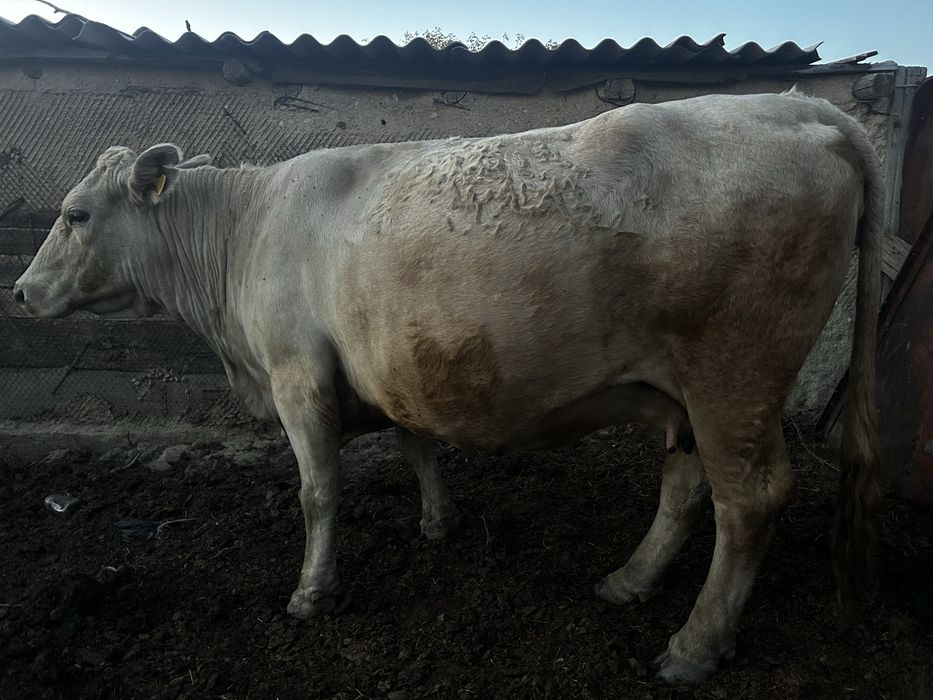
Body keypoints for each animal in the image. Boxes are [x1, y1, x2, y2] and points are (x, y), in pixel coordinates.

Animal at [13, 90, 882, 683]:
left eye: (76, 214)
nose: (20, 292)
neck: (243, 231)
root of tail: (800, 106)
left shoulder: (298, 374)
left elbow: (317, 493)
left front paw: (311, 593)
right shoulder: (387, 358)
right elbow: (415, 442)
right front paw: (437, 522)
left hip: (734, 376)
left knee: (748, 500)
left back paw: (693, 646)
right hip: (691, 392)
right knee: (685, 482)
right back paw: (629, 581)